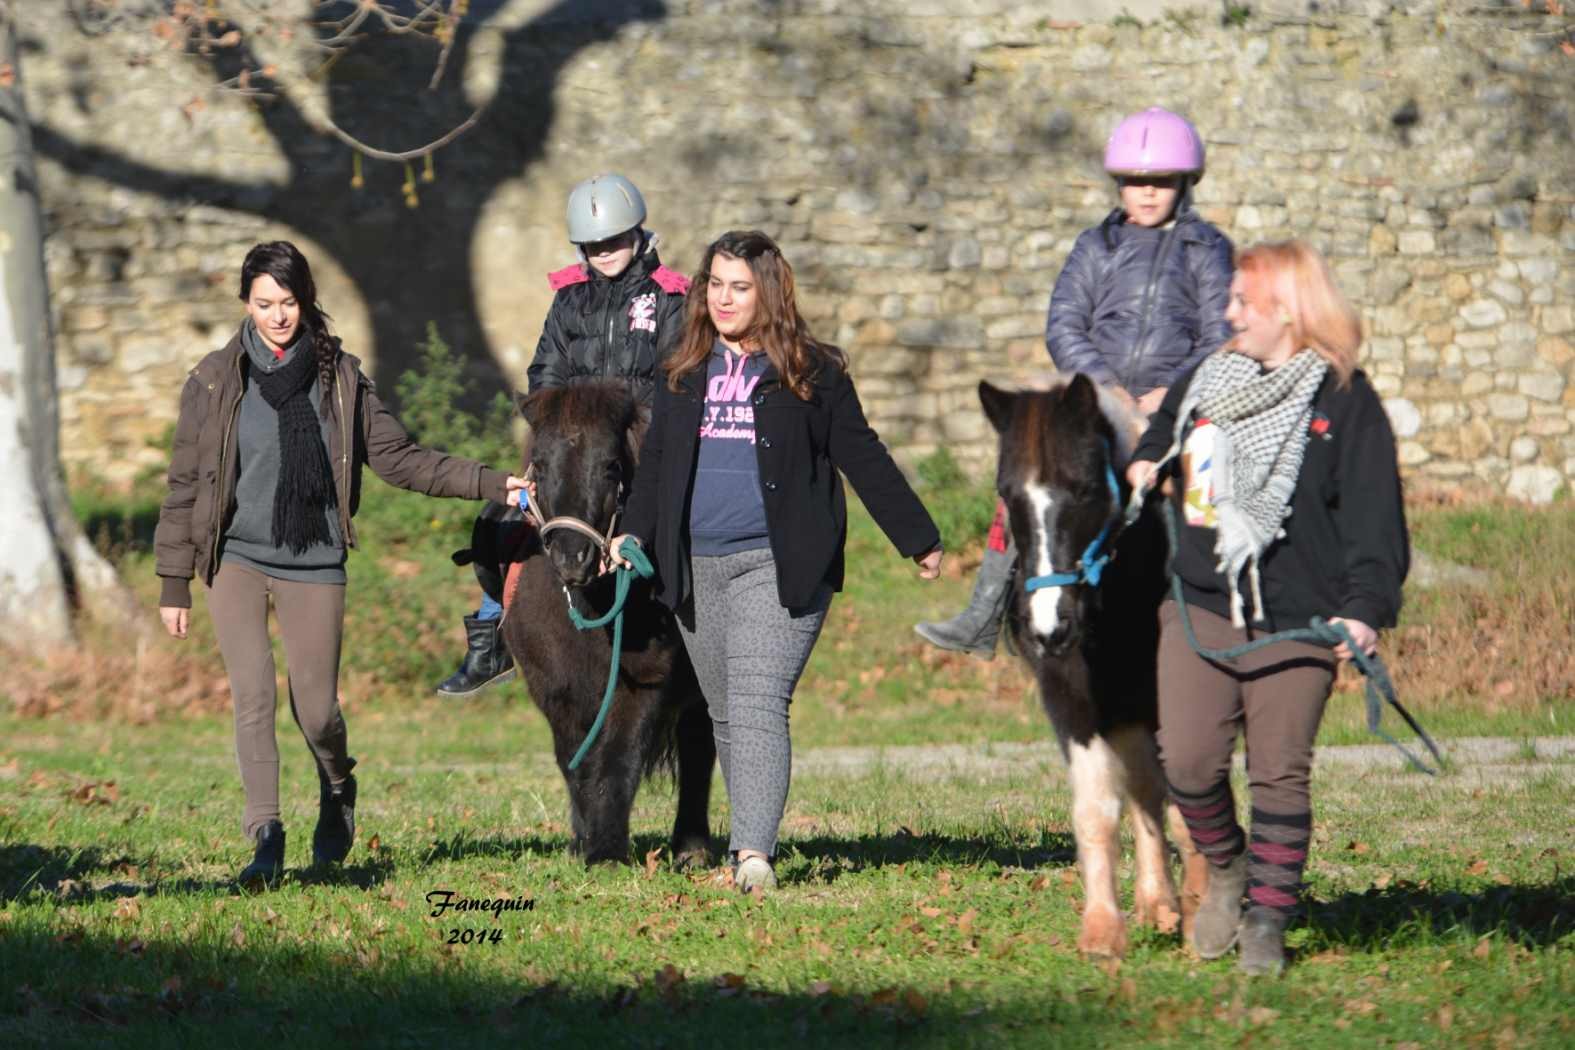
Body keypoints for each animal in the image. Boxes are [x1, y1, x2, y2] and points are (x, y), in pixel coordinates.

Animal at [497, 382, 715, 868]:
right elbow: (574, 762)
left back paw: (691, 849)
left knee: (700, 749)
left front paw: (607, 851)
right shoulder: (555, 689)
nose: (571, 556)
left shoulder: (643, 683)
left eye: (612, 465)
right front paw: (583, 842)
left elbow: (617, 757)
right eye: (540, 465)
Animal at [982, 373, 1203, 957]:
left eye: (1083, 489)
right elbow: (1098, 808)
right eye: (1008, 494)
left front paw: (1202, 916)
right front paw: (1103, 929)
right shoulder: (1073, 701)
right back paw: (1157, 901)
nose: (1049, 626)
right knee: (1145, 788)